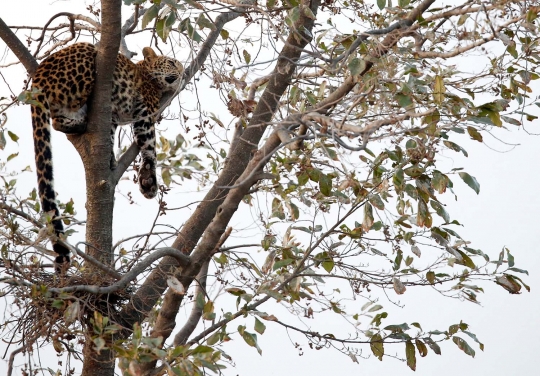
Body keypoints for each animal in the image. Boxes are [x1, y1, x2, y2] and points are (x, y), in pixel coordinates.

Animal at [30, 42, 185, 268]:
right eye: (172, 63)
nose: (183, 72)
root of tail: (37, 77)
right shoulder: (144, 112)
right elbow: (149, 145)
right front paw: (149, 180)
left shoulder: (112, 119)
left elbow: (111, 138)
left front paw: (113, 160)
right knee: (61, 117)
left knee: (59, 121)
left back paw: (80, 123)